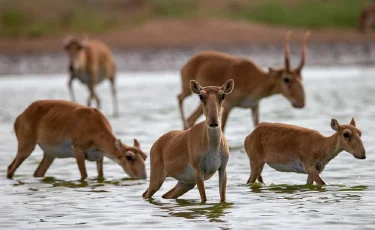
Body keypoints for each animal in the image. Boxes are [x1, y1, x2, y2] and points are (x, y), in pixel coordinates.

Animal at [7, 99, 148, 181]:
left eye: (145, 156)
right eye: (129, 157)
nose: (143, 177)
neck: (94, 124)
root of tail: (21, 116)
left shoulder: (100, 157)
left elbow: (100, 176)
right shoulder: (78, 151)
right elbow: (84, 175)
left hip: (49, 155)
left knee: (38, 172)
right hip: (26, 147)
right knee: (10, 168)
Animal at [179, 31, 312, 131]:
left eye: (301, 78)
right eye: (286, 79)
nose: (300, 103)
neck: (256, 79)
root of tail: (190, 61)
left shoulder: (254, 107)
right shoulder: (228, 106)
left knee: (190, 119)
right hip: (188, 91)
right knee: (180, 99)